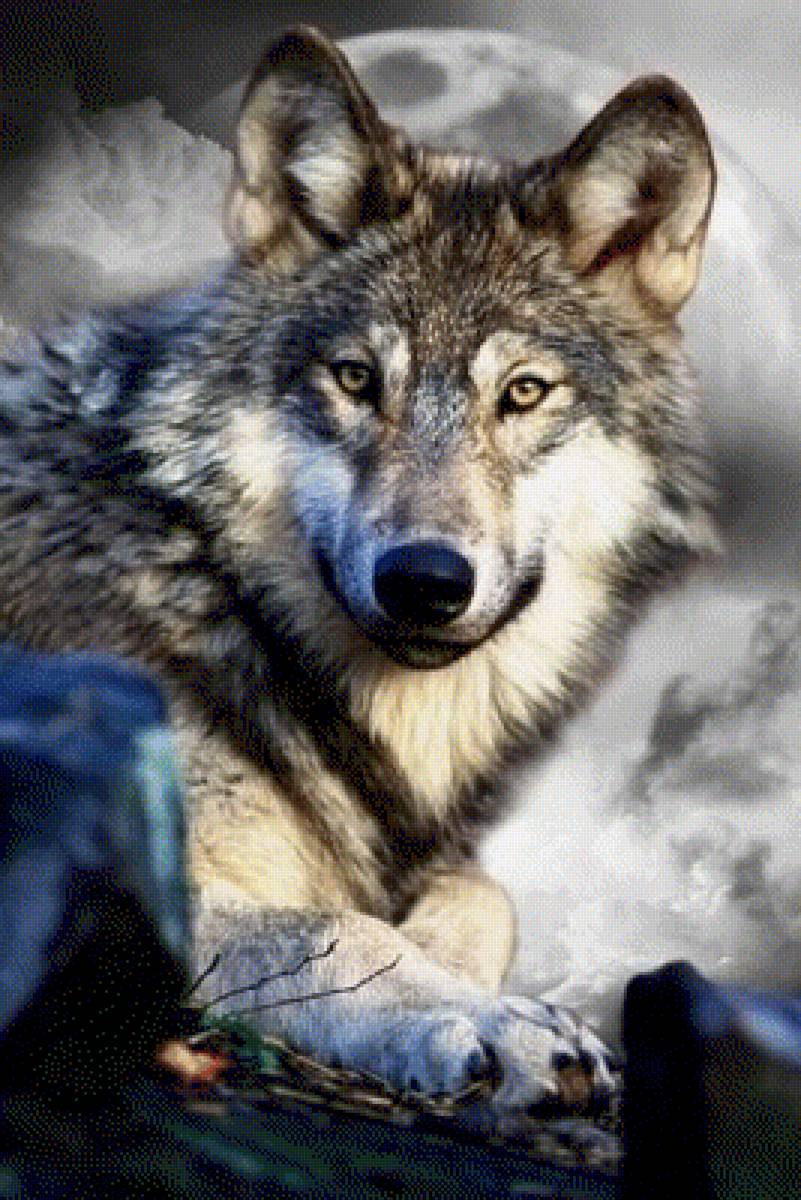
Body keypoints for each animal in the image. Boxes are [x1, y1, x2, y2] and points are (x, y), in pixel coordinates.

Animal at [0, 27, 716, 1109]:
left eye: (523, 393)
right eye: (354, 379)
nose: (424, 579)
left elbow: (483, 895)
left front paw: (463, 975)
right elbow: (335, 929)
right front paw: (487, 1020)